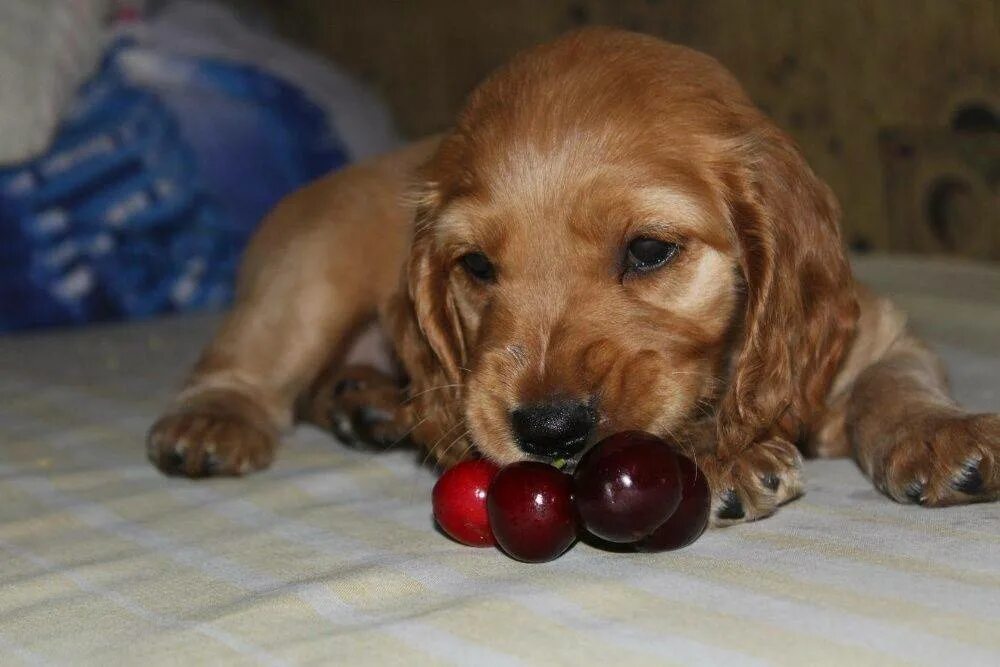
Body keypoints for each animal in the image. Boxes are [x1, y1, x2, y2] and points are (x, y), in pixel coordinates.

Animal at [145, 28, 996, 524]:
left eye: (649, 250)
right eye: (477, 265)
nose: (550, 431)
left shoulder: (873, 333)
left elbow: (896, 384)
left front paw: (941, 437)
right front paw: (725, 454)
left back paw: (370, 404)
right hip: (308, 275)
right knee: (244, 365)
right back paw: (213, 423)